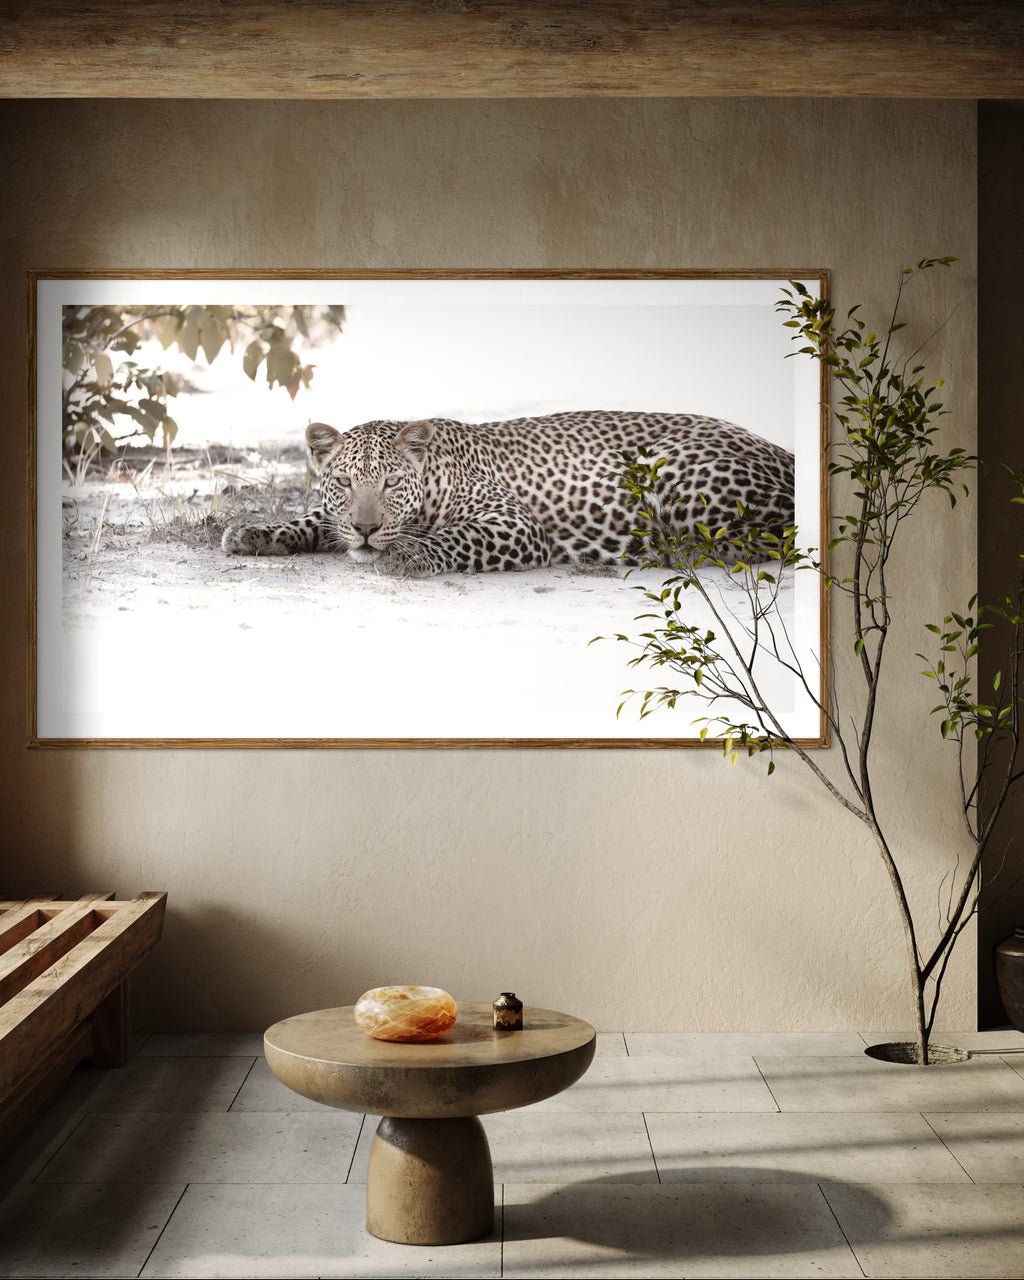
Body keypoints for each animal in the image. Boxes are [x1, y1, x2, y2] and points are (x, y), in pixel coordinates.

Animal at [221, 410, 795, 577]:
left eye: (392, 483)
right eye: (343, 483)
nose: (365, 529)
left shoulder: (515, 525)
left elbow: (453, 538)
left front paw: (405, 555)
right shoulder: (334, 515)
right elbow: (313, 520)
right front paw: (253, 533)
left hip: (675, 466)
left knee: (777, 534)